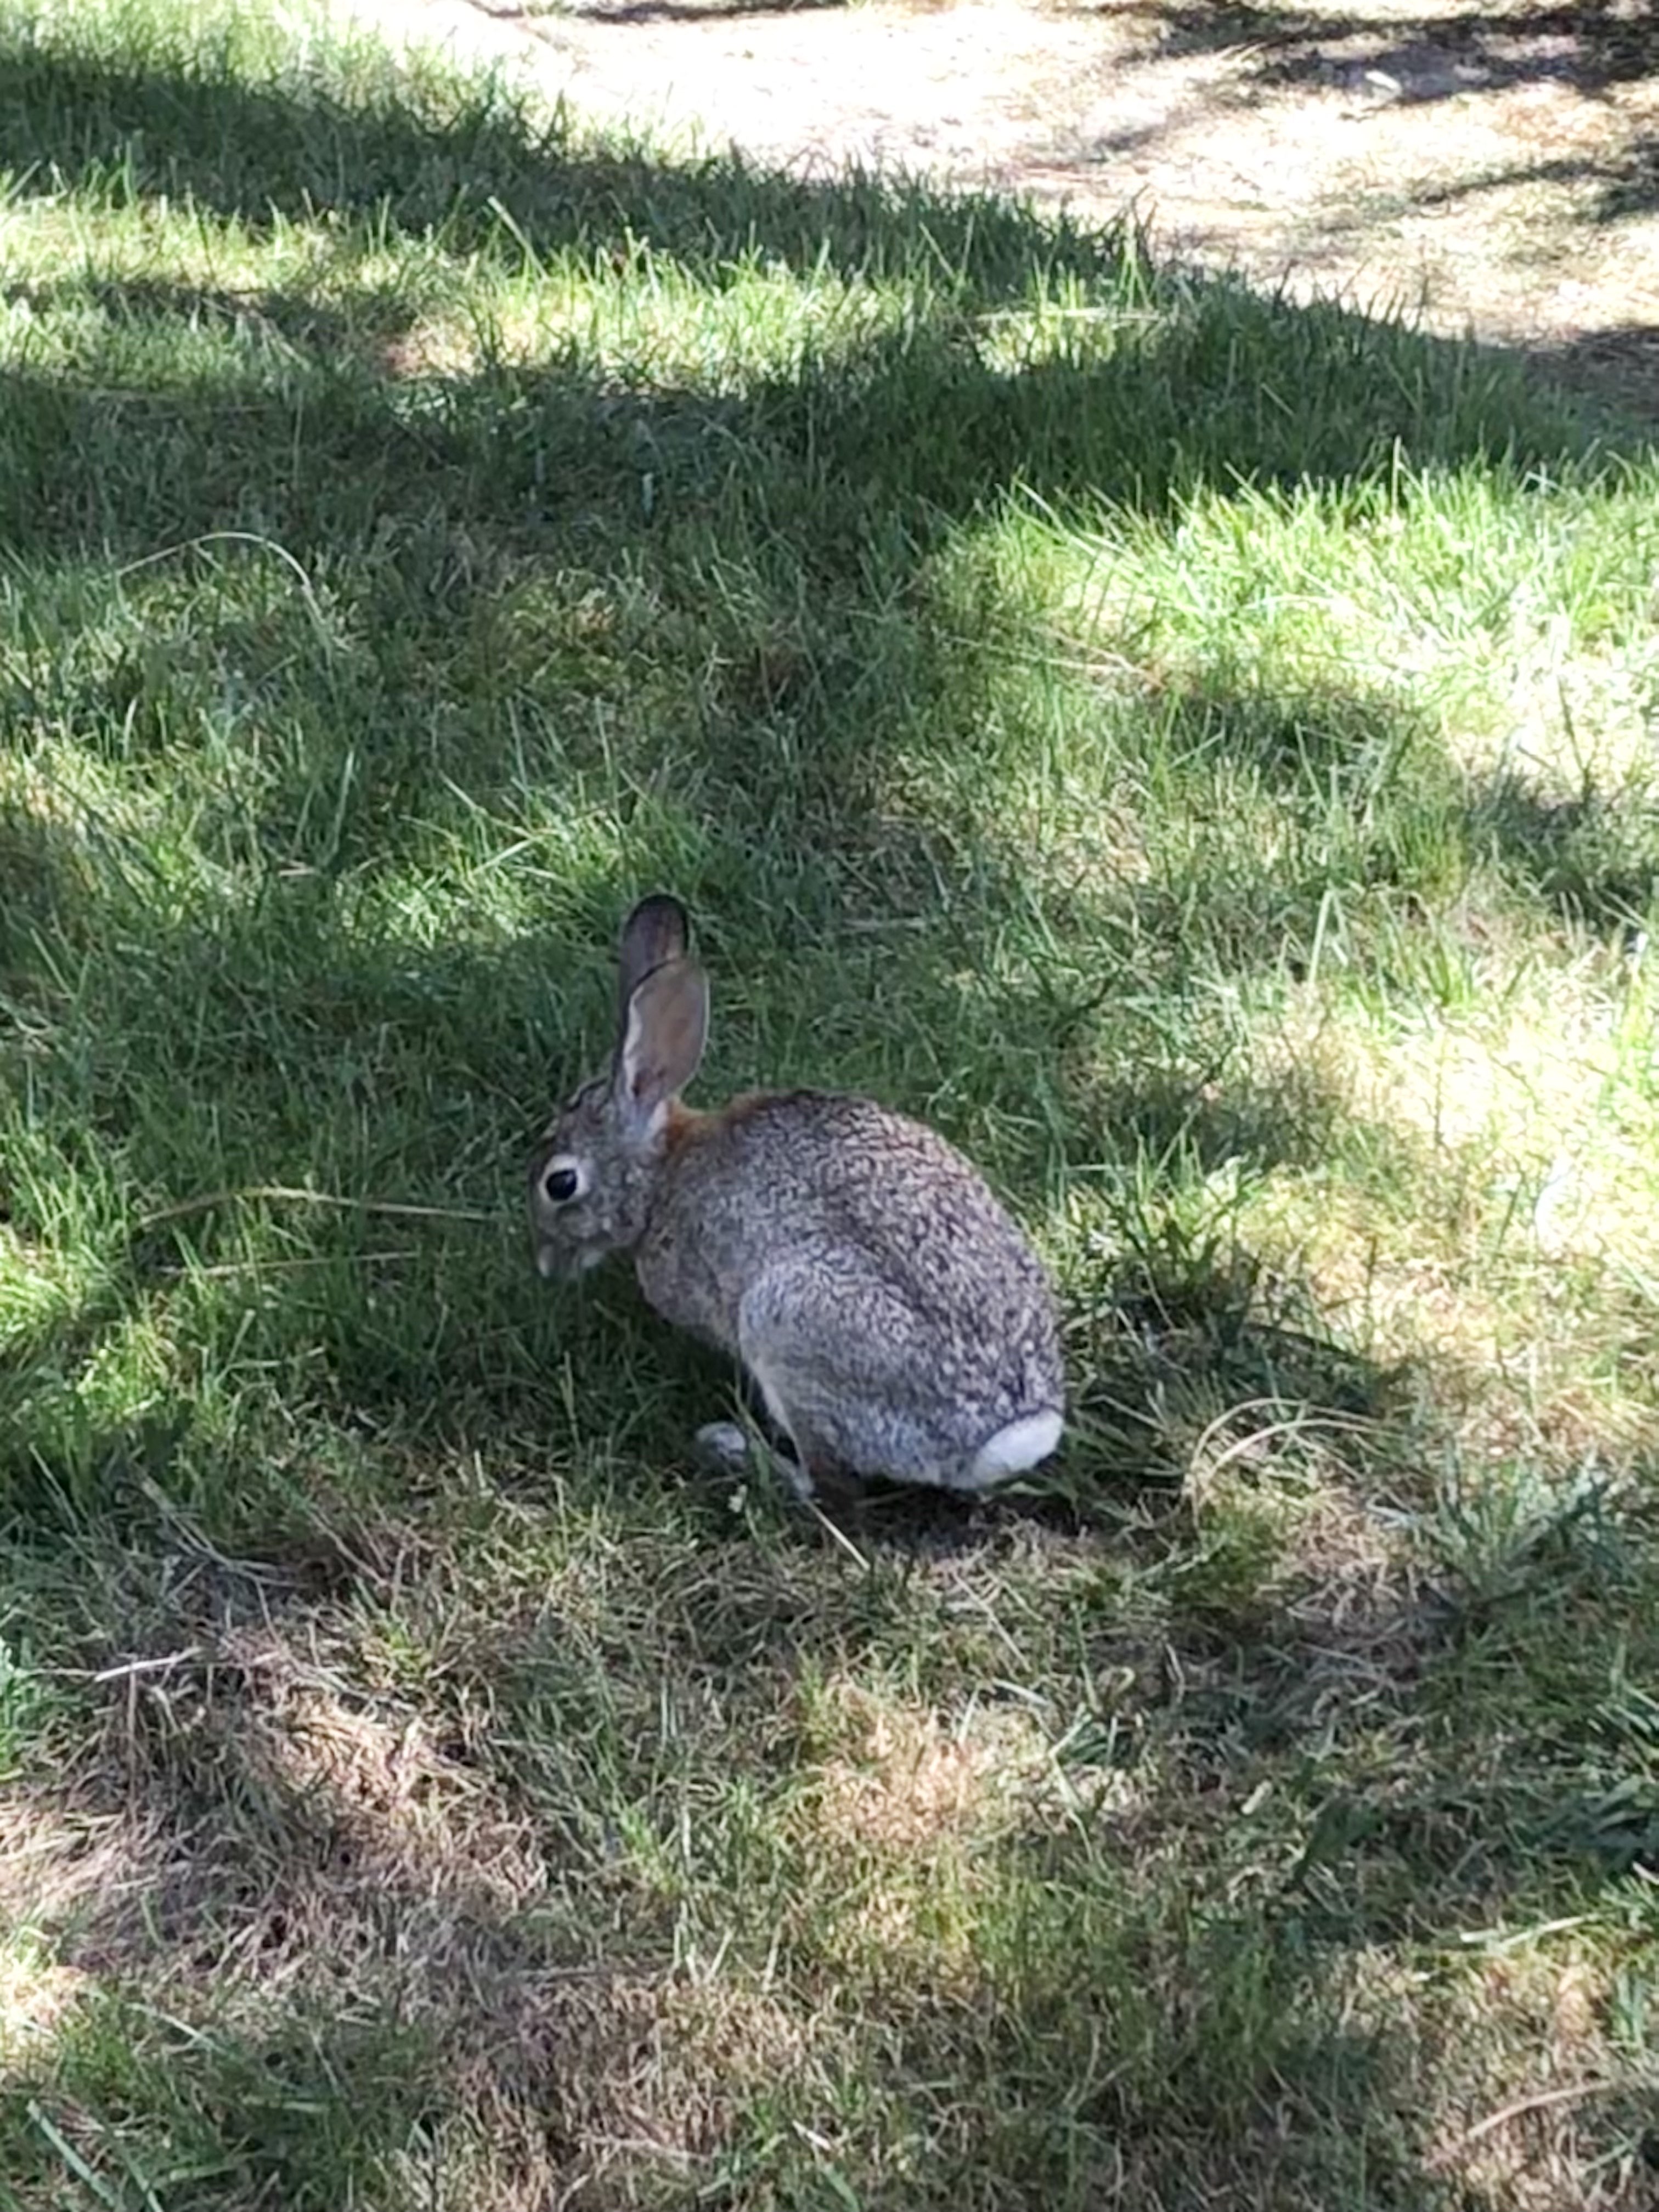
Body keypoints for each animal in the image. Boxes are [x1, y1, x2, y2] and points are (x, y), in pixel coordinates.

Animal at [539, 889, 1070, 1495]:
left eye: (561, 1183)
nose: (547, 1265)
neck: (661, 1175)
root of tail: (996, 1442)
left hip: (784, 1326)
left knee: (826, 1484)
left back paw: (731, 1447)